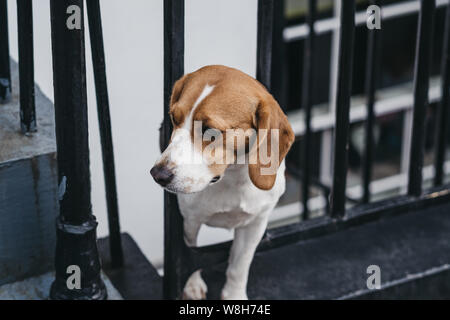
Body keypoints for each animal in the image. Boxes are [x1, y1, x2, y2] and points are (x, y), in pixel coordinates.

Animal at [151, 65, 296, 300]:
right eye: (174, 117)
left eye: (211, 131)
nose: (157, 174)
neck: (232, 178)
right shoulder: (189, 221)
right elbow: (190, 256)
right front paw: (191, 287)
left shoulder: (255, 224)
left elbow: (239, 265)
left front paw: (234, 295)